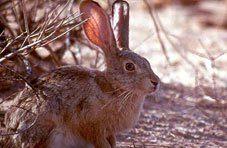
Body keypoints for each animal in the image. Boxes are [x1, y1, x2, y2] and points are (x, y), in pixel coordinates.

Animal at [3, 0, 160, 147]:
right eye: (129, 66)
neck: (114, 87)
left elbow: (112, 141)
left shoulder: (109, 132)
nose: (155, 82)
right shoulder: (92, 124)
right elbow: (100, 141)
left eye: (147, 61)